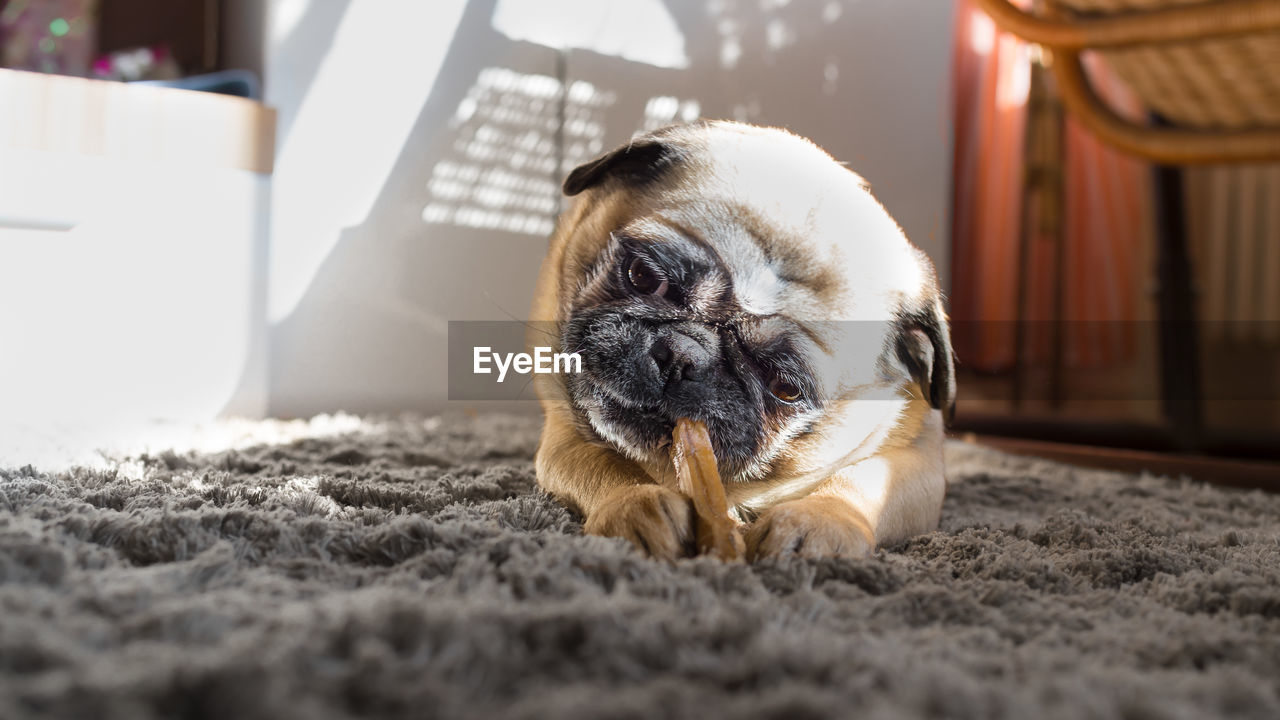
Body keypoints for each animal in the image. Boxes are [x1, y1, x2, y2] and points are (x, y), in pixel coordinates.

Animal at [524, 120, 957, 561]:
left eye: (785, 387)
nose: (682, 355)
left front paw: (817, 518)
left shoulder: (919, 460)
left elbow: (862, 479)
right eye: (642, 276)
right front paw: (635, 502)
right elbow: (604, 463)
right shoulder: (564, 436)